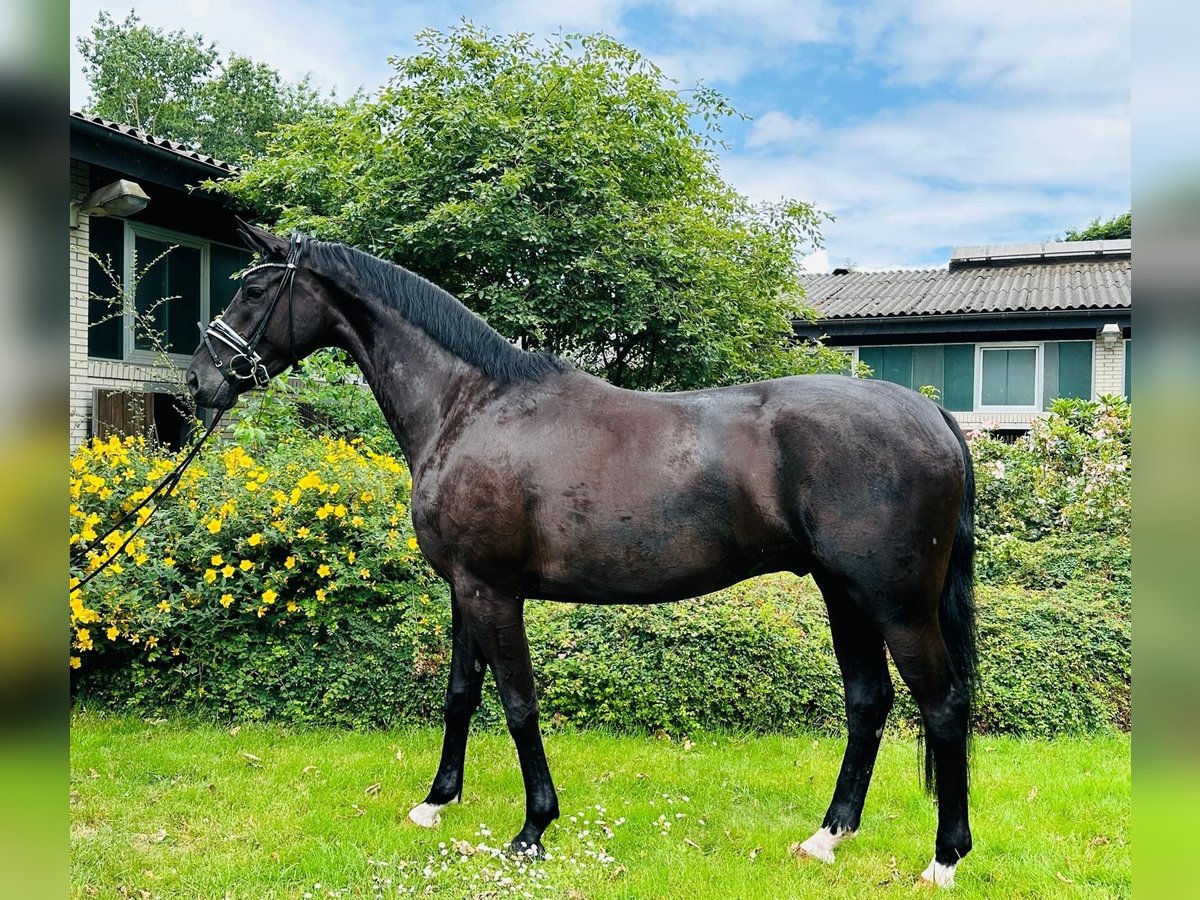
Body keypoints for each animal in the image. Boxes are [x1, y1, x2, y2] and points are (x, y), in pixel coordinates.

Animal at [184, 224, 974, 888]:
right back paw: (826, 837)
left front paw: (532, 828)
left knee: (942, 704)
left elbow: (518, 703)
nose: (199, 381)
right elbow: (461, 693)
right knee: (869, 701)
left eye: (252, 290)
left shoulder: (493, 591)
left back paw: (944, 859)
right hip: (845, 595)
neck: (470, 406)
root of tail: (930, 414)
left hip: (897, 605)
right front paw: (437, 802)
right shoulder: (464, 588)